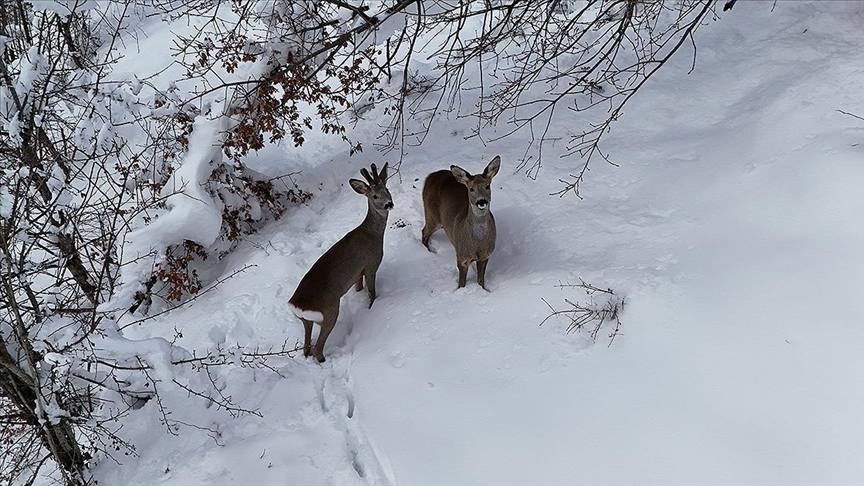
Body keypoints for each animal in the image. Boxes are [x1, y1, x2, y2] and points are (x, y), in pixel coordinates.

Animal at [288, 163, 394, 360]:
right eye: (375, 196)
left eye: (387, 190)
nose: (389, 204)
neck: (373, 234)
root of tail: (298, 306)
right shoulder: (371, 265)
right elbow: (372, 293)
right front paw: (372, 307)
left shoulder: (357, 273)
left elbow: (359, 288)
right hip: (330, 311)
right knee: (317, 348)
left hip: (306, 321)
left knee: (306, 346)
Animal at [420, 156, 500, 288]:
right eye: (471, 189)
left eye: (487, 186)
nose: (481, 201)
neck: (477, 243)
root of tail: (431, 175)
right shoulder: (462, 257)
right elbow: (462, 283)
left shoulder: (485, 255)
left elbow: (481, 280)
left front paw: (484, 290)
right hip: (432, 215)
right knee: (424, 231)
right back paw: (429, 251)